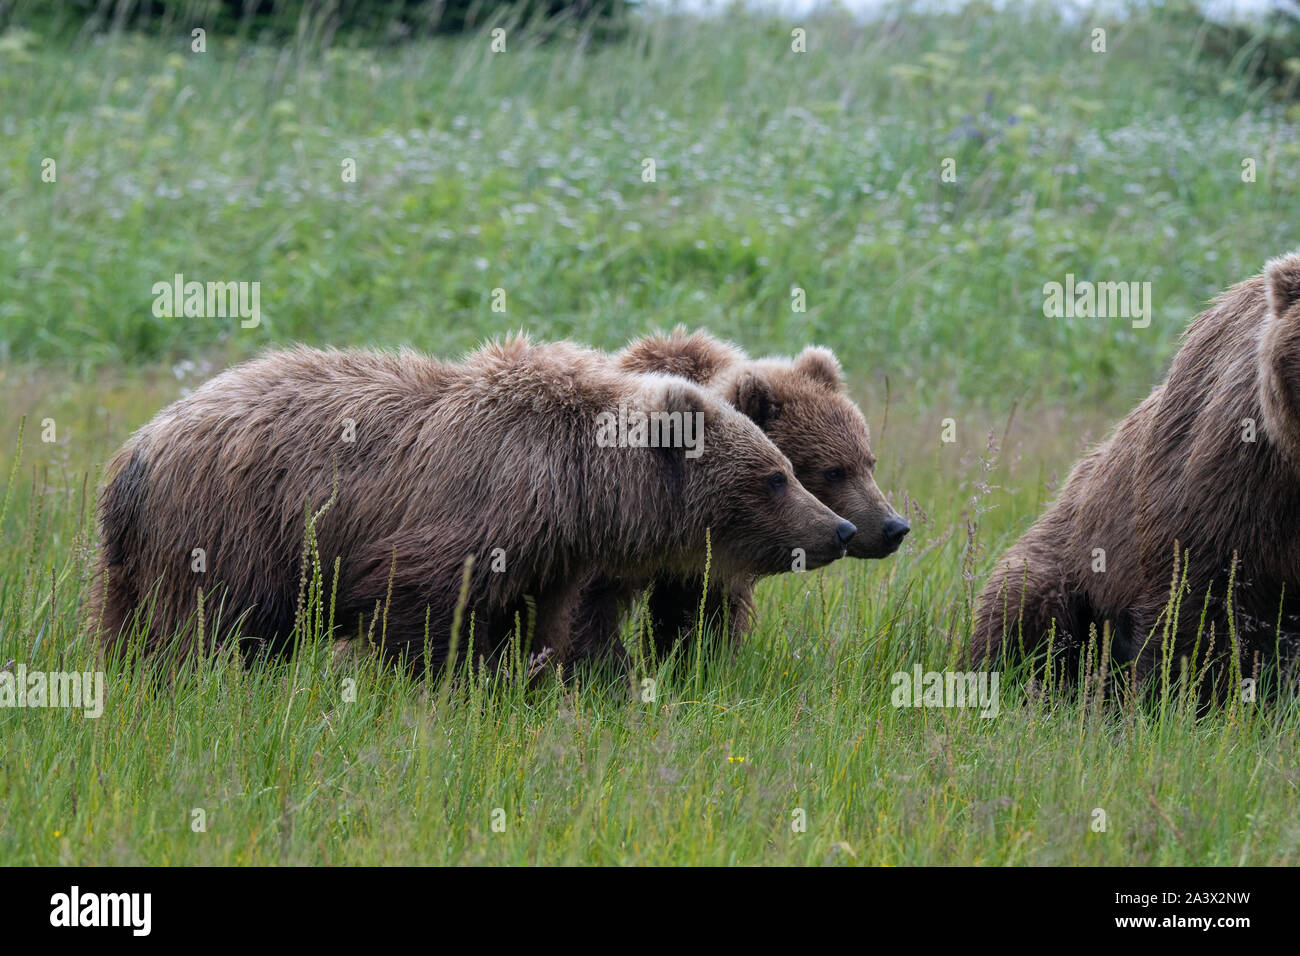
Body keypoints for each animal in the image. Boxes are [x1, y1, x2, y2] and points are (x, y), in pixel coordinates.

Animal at [89, 335, 852, 671]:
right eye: (778, 476)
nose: (841, 528)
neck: (579, 487)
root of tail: (136, 450)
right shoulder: (475, 507)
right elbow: (419, 601)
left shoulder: (548, 555)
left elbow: (535, 623)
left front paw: (524, 680)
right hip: (231, 526)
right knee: (214, 627)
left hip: (137, 559)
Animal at [569, 325, 904, 671]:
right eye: (833, 471)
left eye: (869, 462)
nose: (894, 527)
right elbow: (588, 606)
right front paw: (602, 669)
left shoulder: (708, 563)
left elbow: (695, 618)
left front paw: (688, 666)